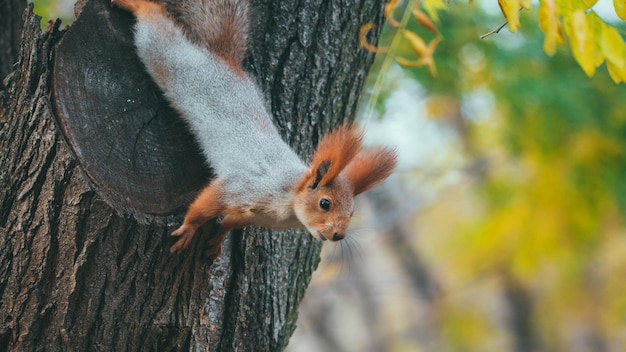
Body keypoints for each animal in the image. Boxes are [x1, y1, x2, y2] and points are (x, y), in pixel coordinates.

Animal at [110, 0, 398, 258]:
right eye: (324, 203)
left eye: (352, 213)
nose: (339, 235)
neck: (287, 203)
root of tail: (223, 61)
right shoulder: (242, 187)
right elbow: (206, 204)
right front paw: (189, 229)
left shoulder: (255, 217)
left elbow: (230, 221)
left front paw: (219, 238)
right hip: (170, 60)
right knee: (156, 28)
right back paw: (136, 5)